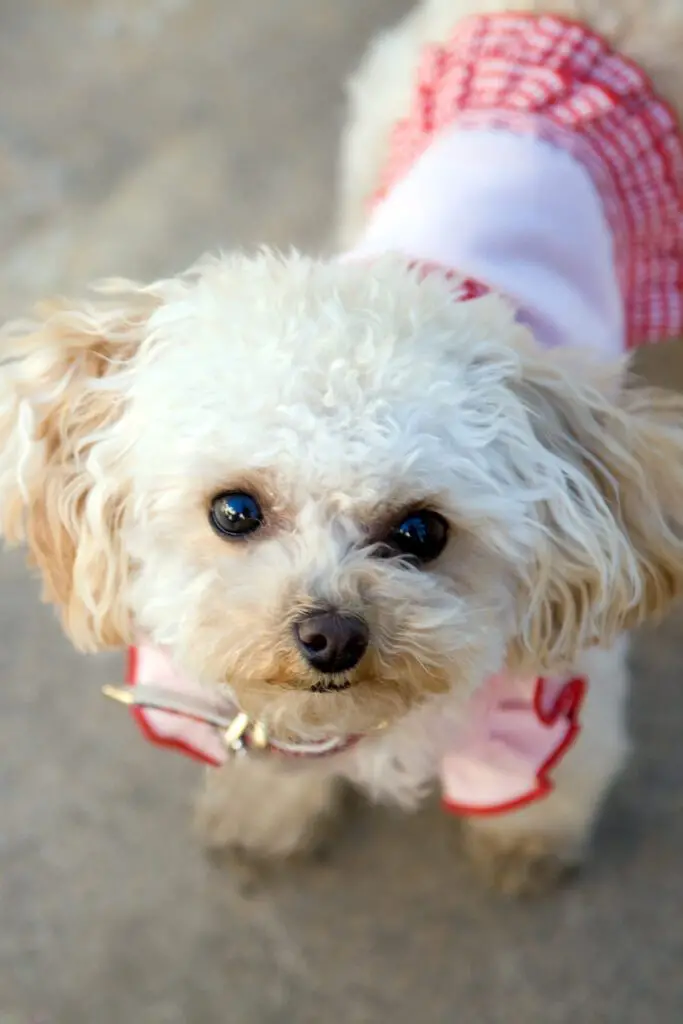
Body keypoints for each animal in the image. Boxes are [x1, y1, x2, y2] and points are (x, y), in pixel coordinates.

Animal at [1, 0, 683, 892]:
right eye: (233, 510)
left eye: (422, 531)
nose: (329, 637)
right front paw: (263, 810)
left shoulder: (558, 697)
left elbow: (551, 780)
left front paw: (525, 846)